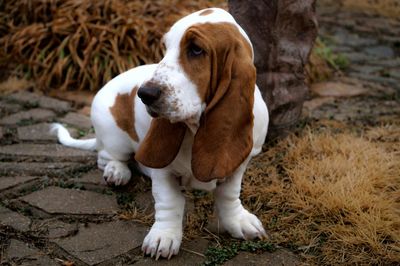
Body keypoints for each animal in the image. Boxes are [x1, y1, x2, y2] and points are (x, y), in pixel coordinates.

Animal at [50, 7, 268, 258]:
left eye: (196, 49)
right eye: (165, 47)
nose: (144, 94)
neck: (194, 127)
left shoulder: (239, 164)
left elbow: (229, 194)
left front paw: (238, 221)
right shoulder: (163, 169)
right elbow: (169, 201)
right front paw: (163, 237)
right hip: (113, 136)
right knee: (107, 157)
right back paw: (116, 172)